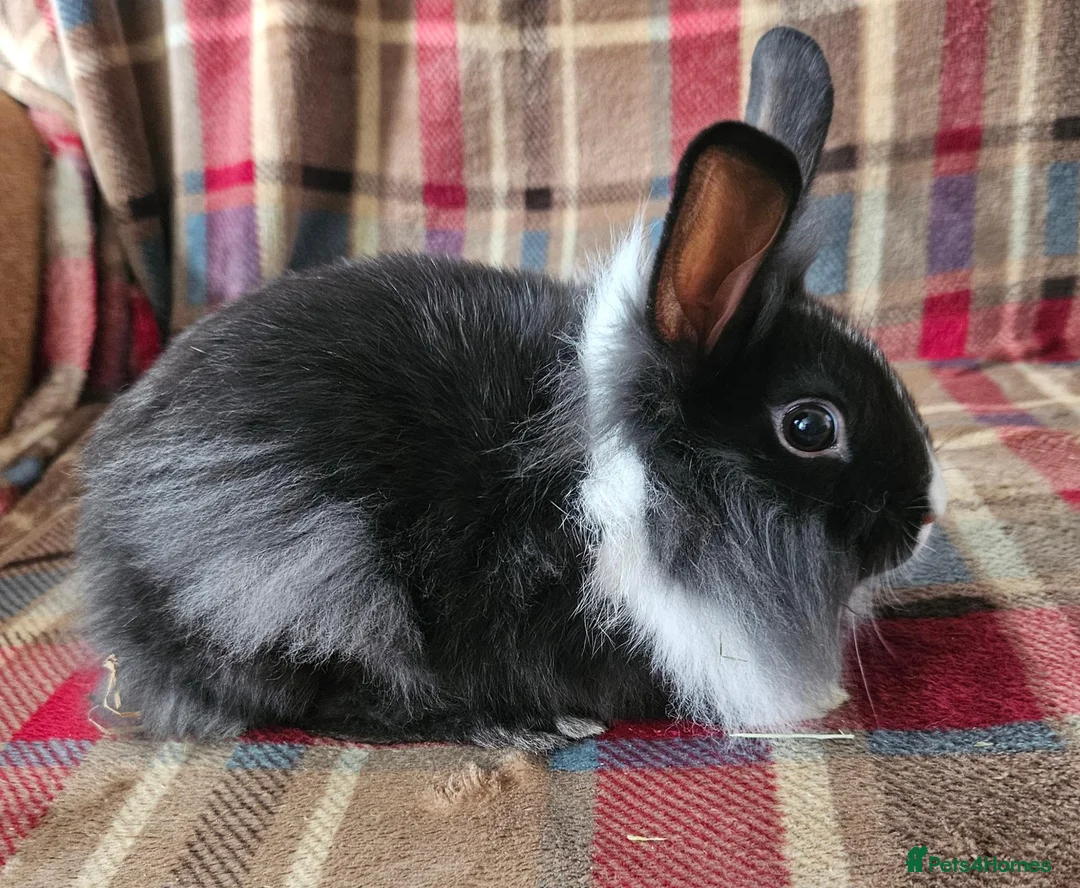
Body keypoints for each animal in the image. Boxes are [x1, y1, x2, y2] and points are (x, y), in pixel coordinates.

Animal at [77, 27, 946, 751]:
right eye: (810, 427)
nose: (923, 521)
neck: (620, 479)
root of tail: (114, 565)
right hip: (305, 570)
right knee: (326, 696)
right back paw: (517, 725)